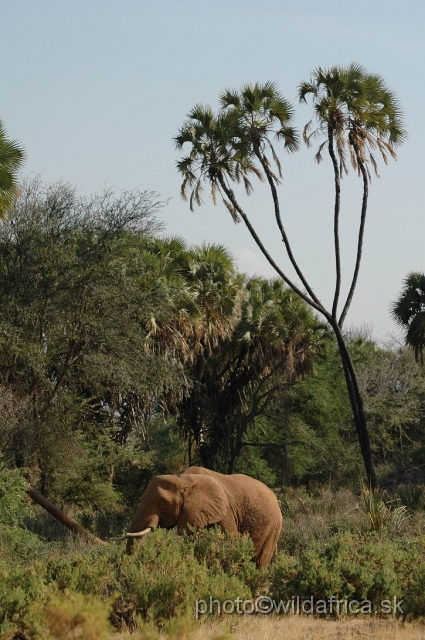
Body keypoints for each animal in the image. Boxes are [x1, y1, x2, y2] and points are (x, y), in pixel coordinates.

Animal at [119, 464, 282, 568]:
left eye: (161, 503)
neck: (182, 478)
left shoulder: (224, 512)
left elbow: (228, 540)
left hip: (274, 527)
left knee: (261, 561)